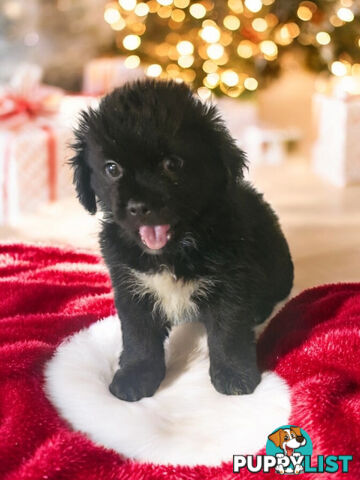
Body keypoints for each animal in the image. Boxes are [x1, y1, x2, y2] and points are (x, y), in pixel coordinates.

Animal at [71, 79, 292, 402]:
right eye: (112, 168)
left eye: (172, 164)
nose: (139, 206)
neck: (171, 252)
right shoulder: (131, 288)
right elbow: (138, 338)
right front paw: (135, 375)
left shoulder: (231, 285)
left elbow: (228, 333)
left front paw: (234, 375)